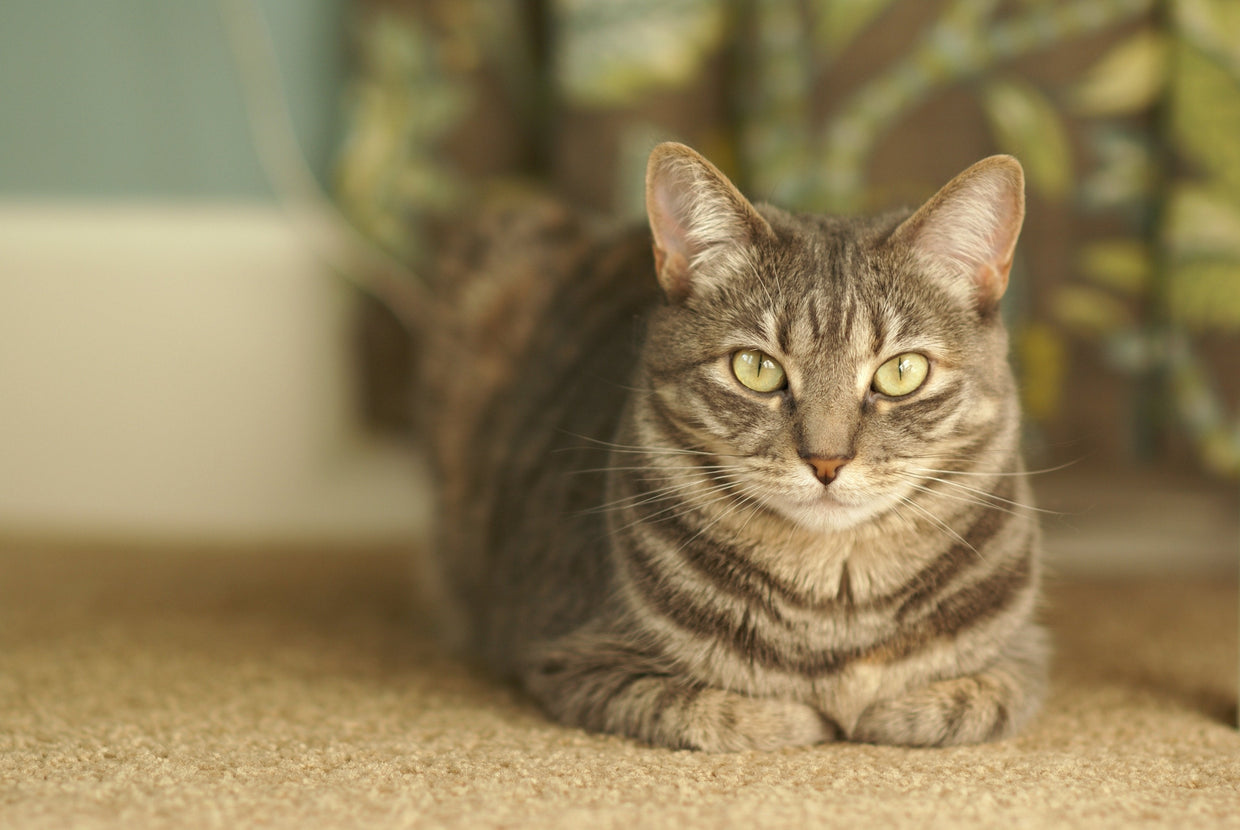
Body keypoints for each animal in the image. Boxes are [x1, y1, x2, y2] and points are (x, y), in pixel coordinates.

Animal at [419, 142, 1046, 749]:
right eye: (756, 368)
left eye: (901, 372)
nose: (826, 461)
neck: (835, 610)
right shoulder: (568, 654)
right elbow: (723, 714)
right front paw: (808, 717)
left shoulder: (1020, 658)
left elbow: (963, 704)